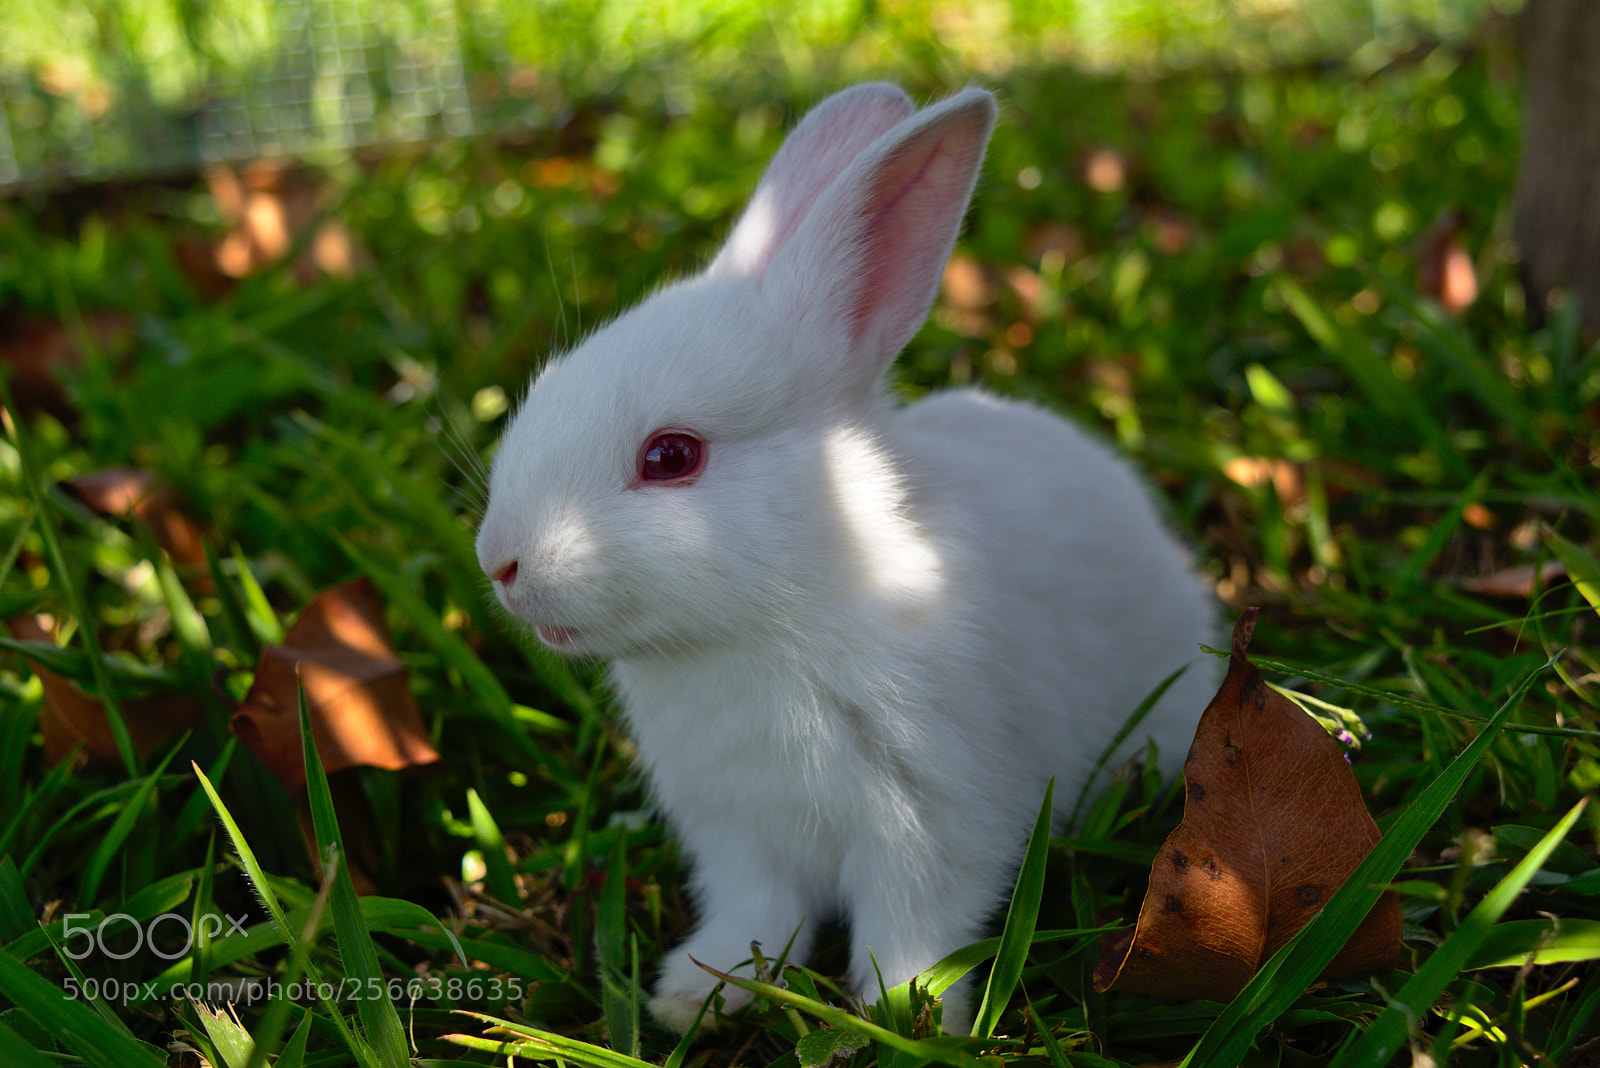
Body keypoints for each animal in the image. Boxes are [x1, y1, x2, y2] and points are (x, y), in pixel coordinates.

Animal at [475, 82, 1219, 1036]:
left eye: (671, 456)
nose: (500, 562)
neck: (781, 610)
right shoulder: (739, 835)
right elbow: (756, 915)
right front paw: (697, 993)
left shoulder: (929, 823)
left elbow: (914, 928)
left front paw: (906, 1017)